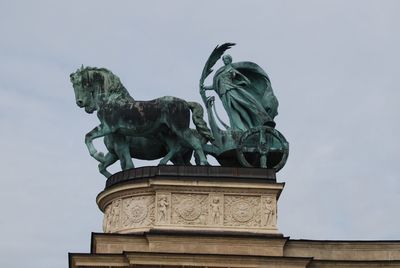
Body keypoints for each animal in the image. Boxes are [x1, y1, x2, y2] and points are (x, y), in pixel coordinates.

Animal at [70, 66, 212, 170]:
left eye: (81, 83)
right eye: (73, 85)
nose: (80, 102)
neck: (110, 99)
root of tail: (186, 102)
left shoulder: (107, 127)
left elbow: (88, 136)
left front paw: (98, 155)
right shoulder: (118, 134)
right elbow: (123, 156)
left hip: (180, 128)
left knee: (195, 142)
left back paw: (204, 163)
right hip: (167, 132)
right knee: (175, 147)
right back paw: (162, 162)